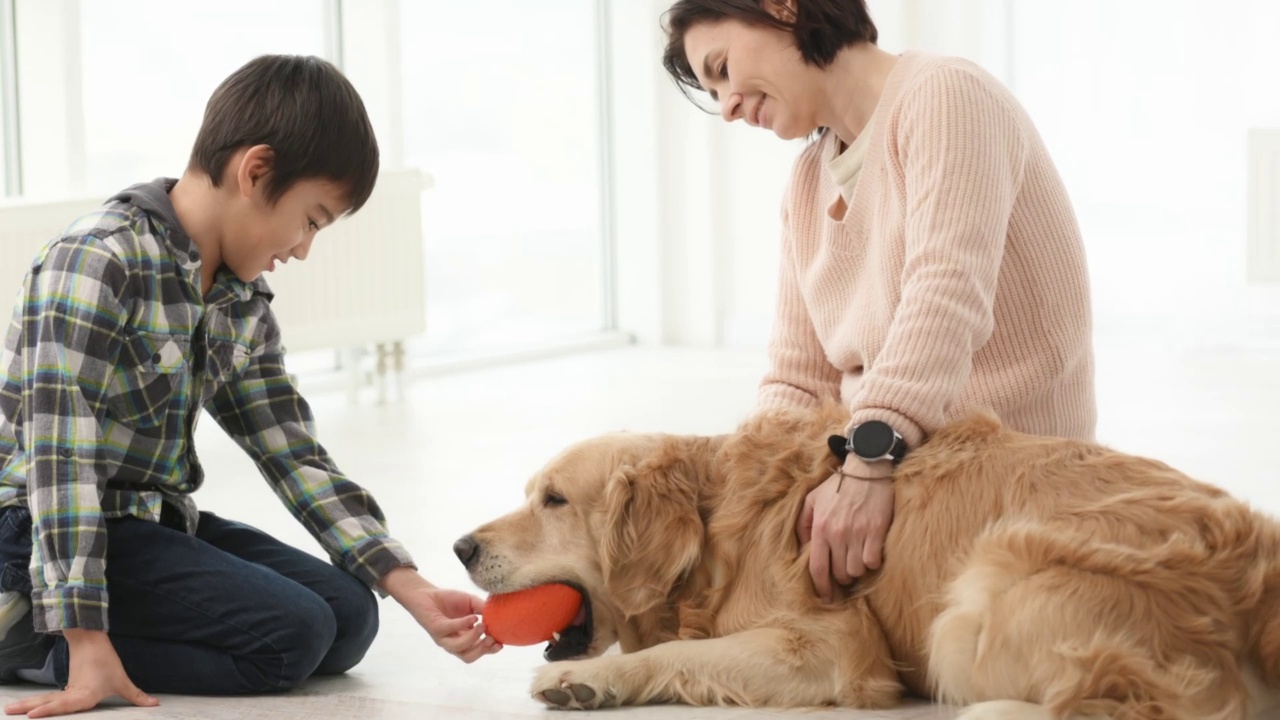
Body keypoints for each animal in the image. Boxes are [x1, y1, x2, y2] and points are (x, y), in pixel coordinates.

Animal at [455, 404, 1280, 717]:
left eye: (554, 500)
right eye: (532, 494)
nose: (461, 548)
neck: (714, 524)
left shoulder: (836, 644)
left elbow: (686, 653)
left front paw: (589, 680)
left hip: (974, 604)